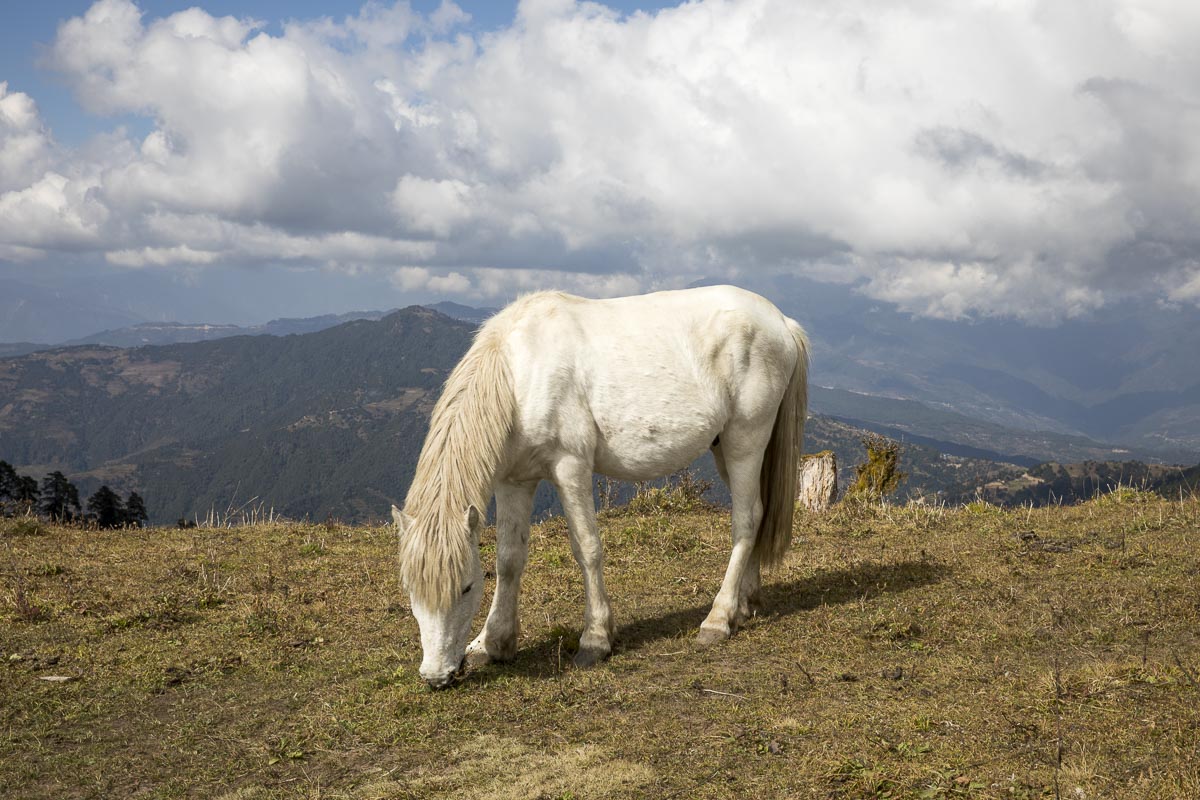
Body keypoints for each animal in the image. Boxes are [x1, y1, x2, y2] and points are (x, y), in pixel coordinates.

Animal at [391, 285, 809, 688]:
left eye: (465, 587)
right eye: (410, 589)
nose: (436, 677)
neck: (520, 373)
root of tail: (782, 322)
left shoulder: (571, 467)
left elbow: (587, 549)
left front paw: (595, 639)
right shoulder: (514, 481)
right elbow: (509, 559)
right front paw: (492, 644)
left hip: (745, 441)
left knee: (746, 520)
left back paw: (718, 619)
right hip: (726, 447)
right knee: (757, 512)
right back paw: (745, 602)